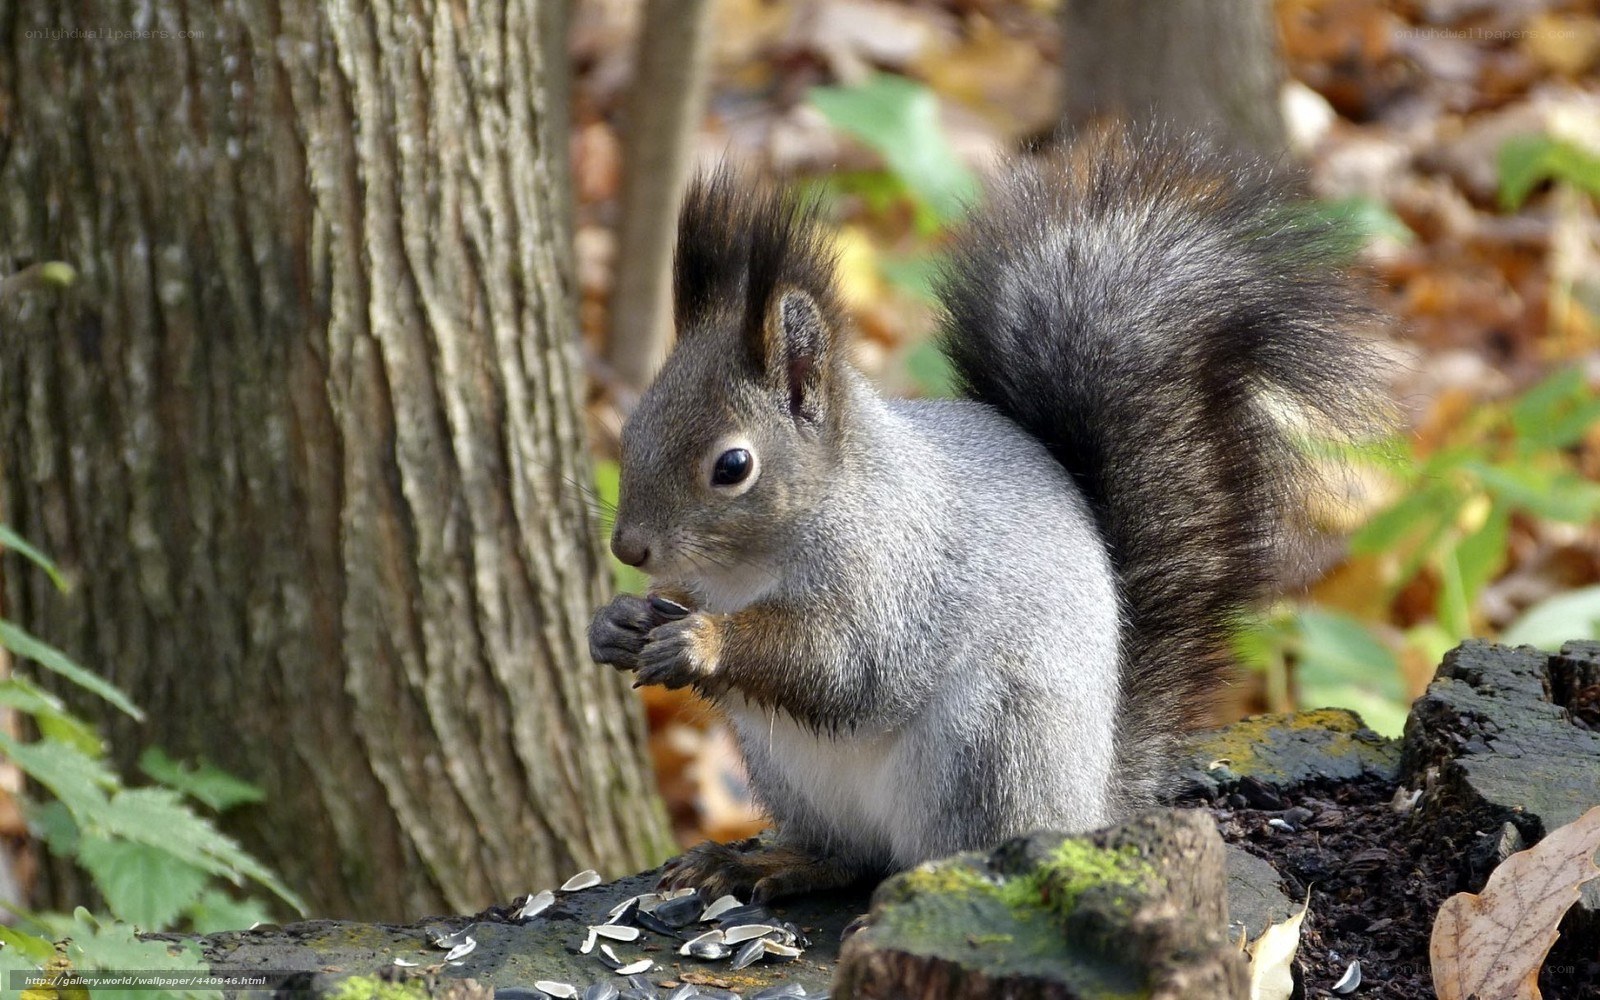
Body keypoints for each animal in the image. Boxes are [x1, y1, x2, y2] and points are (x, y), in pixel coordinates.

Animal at [588, 124, 1383, 904]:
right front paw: (619, 622)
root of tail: (1088, 802)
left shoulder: (893, 576)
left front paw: (702, 641)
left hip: (986, 749)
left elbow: (843, 663)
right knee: (846, 855)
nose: (629, 549)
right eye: (633, 427)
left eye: (733, 467)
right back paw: (768, 864)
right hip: (791, 772)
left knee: (943, 856)